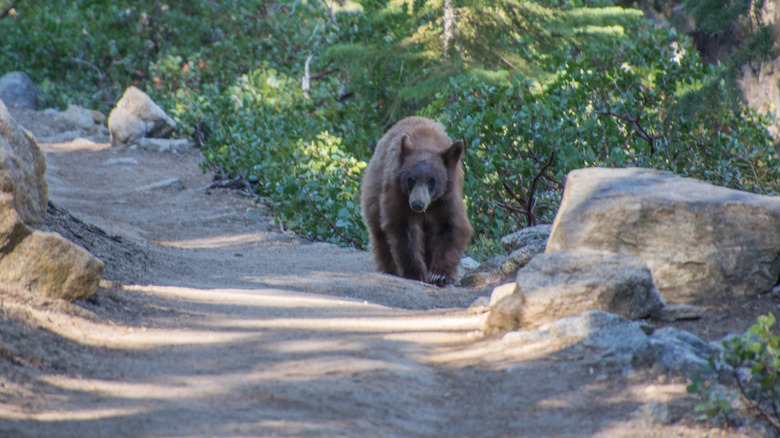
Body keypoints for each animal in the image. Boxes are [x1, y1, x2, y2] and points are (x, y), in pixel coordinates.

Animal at [362, 116, 476, 288]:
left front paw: (439, 274)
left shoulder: (447, 196)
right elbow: (402, 230)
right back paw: (390, 269)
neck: (427, 144)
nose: (417, 204)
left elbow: (453, 226)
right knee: (379, 233)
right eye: (410, 179)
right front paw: (416, 273)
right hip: (375, 186)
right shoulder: (398, 194)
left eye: (432, 181)